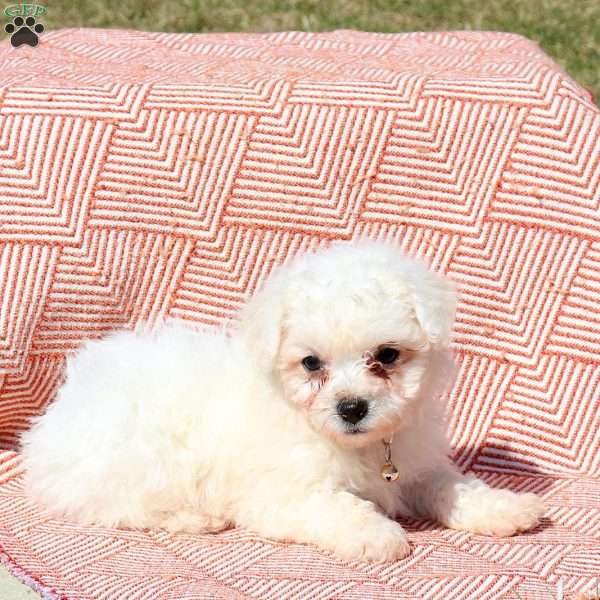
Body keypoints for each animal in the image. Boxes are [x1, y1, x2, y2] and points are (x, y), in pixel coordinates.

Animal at [21, 240, 544, 564]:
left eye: (387, 355)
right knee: (117, 505)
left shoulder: (415, 464)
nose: (351, 408)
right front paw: (375, 536)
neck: (358, 447)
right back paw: (196, 518)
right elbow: (336, 507)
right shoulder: (281, 491)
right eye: (311, 364)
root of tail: (65, 404)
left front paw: (505, 509)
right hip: (139, 457)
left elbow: (450, 486)